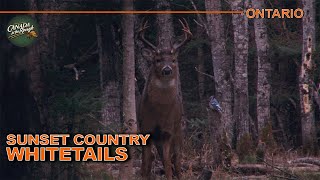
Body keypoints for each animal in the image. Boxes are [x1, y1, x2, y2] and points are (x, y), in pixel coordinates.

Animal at [138, 18, 192, 180]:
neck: (158, 111)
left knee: (176, 158)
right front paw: (144, 175)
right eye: (157, 60)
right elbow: (146, 162)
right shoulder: (145, 129)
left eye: (173, 60)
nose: (167, 69)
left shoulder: (167, 131)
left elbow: (168, 162)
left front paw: (169, 175)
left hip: (178, 130)